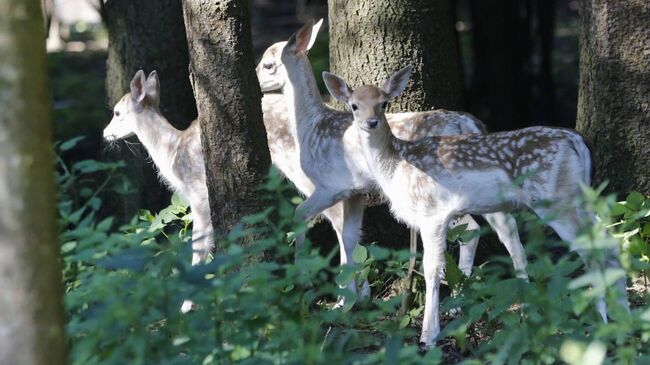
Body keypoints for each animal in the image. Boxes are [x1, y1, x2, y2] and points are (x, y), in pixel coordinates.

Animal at [258, 20, 528, 304]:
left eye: (268, 64)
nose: (256, 79)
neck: (310, 126)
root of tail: (471, 123)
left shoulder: (330, 185)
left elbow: (303, 216)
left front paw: (322, 290)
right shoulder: (355, 191)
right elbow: (350, 235)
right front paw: (353, 298)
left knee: (474, 228)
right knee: (503, 225)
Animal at [322, 65, 628, 346]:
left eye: (384, 103)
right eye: (354, 105)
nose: (371, 122)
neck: (396, 166)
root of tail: (578, 141)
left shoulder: (432, 213)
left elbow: (433, 268)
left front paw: (429, 336)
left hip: (557, 202)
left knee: (592, 251)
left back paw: (601, 321)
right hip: (580, 200)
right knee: (610, 244)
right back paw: (621, 318)